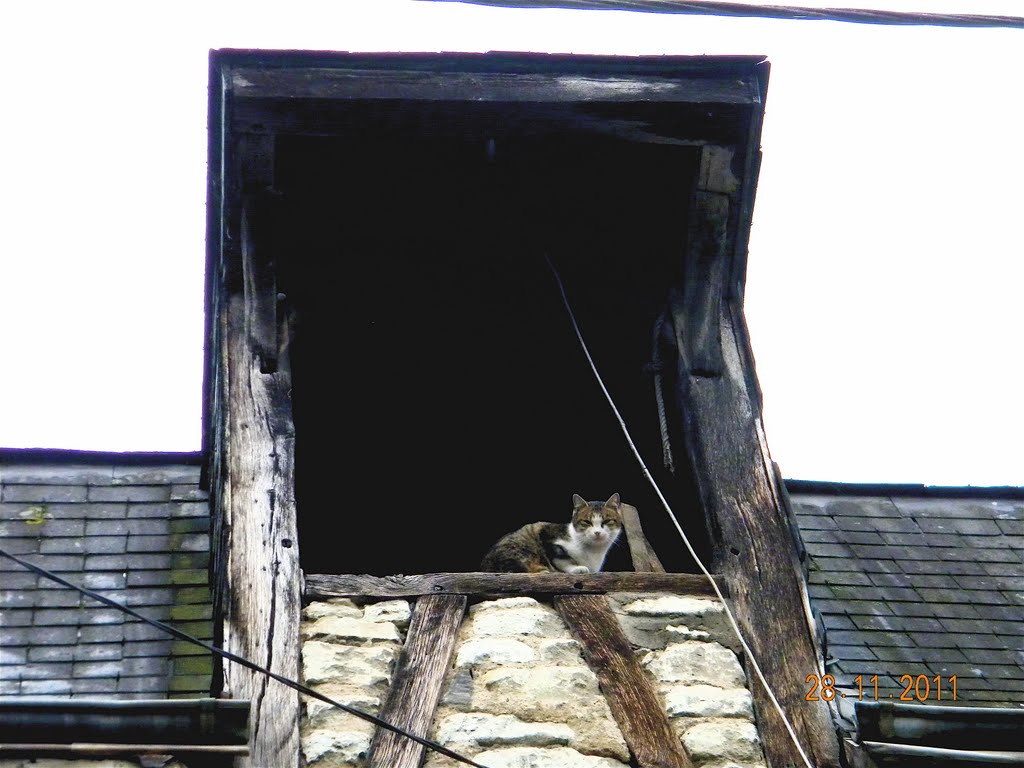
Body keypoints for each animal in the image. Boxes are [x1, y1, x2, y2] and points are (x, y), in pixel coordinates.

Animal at [479, 495, 622, 573]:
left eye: (607, 521)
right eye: (587, 522)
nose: (597, 532)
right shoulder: (547, 536)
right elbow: (561, 559)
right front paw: (577, 568)